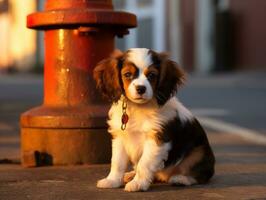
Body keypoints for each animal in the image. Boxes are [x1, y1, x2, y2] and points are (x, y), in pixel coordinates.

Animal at [93, 47, 214, 191]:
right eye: (127, 74)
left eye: (151, 75)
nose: (141, 88)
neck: (138, 107)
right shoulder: (120, 138)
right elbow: (117, 162)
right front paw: (112, 181)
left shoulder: (156, 140)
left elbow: (144, 163)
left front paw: (138, 184)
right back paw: (131, 175)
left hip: (198, 153)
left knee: (200, 175)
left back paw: (180, 179)